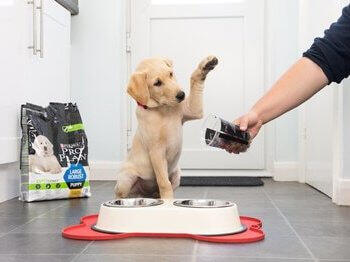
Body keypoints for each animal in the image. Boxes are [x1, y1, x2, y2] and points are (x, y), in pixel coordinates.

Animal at [116, 55, 217, 199]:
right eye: (157, 83)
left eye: (171, 74)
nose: (181, 95)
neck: (163, 109)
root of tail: (145, 194)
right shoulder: (156, 152)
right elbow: (163, 182)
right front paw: (168, 201)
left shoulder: (192, 110)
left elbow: (194, 79)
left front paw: (205, 66)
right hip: (125, 179)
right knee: (121, 195)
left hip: (177, 175)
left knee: (158, 191)